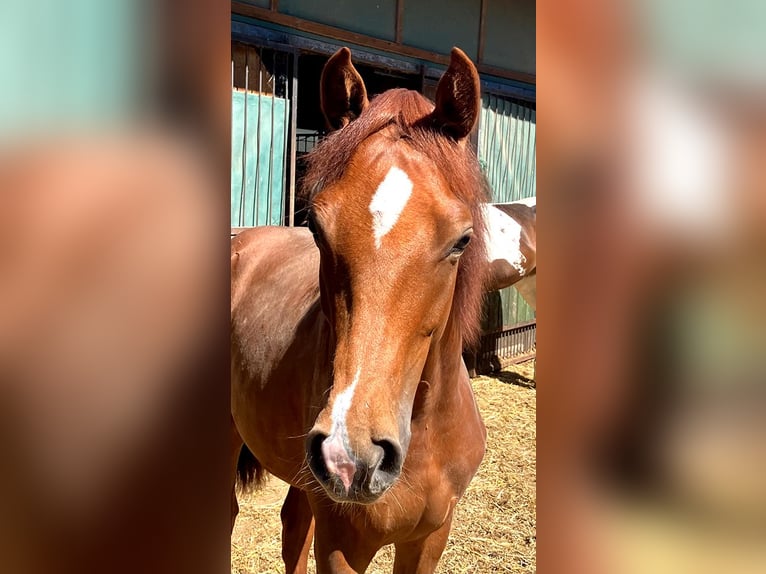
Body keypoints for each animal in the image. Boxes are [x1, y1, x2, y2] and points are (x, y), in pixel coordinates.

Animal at [230, 46, 489, 573]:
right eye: (316, 227)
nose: (351, 455)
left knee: (293, 526)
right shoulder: (343, 544)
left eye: (462, 239)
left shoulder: (430, 538)